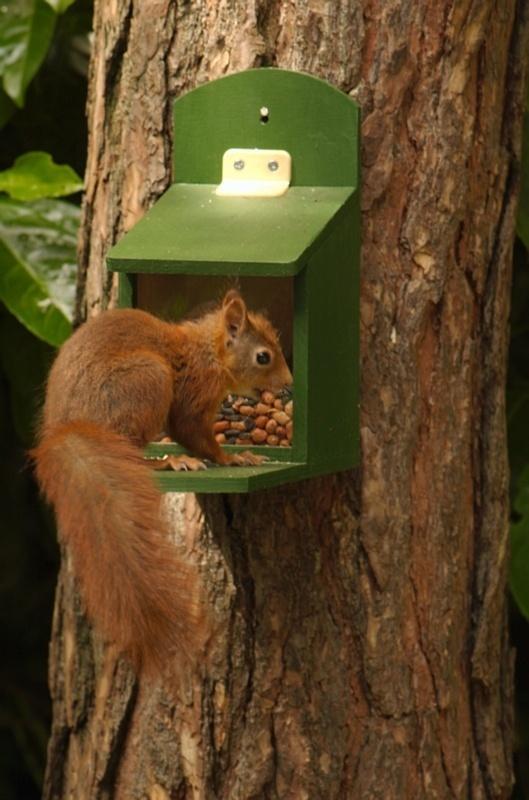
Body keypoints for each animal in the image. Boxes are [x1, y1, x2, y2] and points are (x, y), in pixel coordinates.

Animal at [32, 290, 292, 672]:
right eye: (263, 357)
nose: (289, 384)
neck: (210, 352)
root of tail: (69, 428)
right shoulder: (194, 394)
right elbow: (193, 432)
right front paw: (233, 458)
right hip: (148, 381)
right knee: (134, 448)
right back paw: (170, 461)